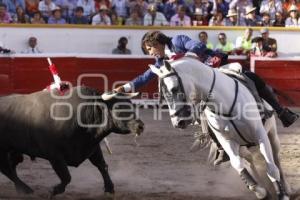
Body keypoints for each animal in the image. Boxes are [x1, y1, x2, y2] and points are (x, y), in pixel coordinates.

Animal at [0, 85, 144, 197]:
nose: (140, 126)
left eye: (131, 105)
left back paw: (21, 189)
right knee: (6, 169)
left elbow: (102, 166)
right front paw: (54, 190)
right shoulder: (54, 155)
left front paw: (109, 188)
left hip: (14, 150)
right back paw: (26, 190)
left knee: (11, 166)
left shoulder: (91, 147)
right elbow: (66, 176)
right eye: (118, 108)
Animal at [150, 55, 290, 200]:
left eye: (174, 89)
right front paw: (261, 191)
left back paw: (285, 188)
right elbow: (237, 164)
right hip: (243, 146)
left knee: (276, 159)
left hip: (272, 134)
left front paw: (282, 195)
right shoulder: (226, 140)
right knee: (249, 160)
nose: (178, 122)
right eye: (162, 94)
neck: (224, 103)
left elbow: (271, 168)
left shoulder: (260, 134)